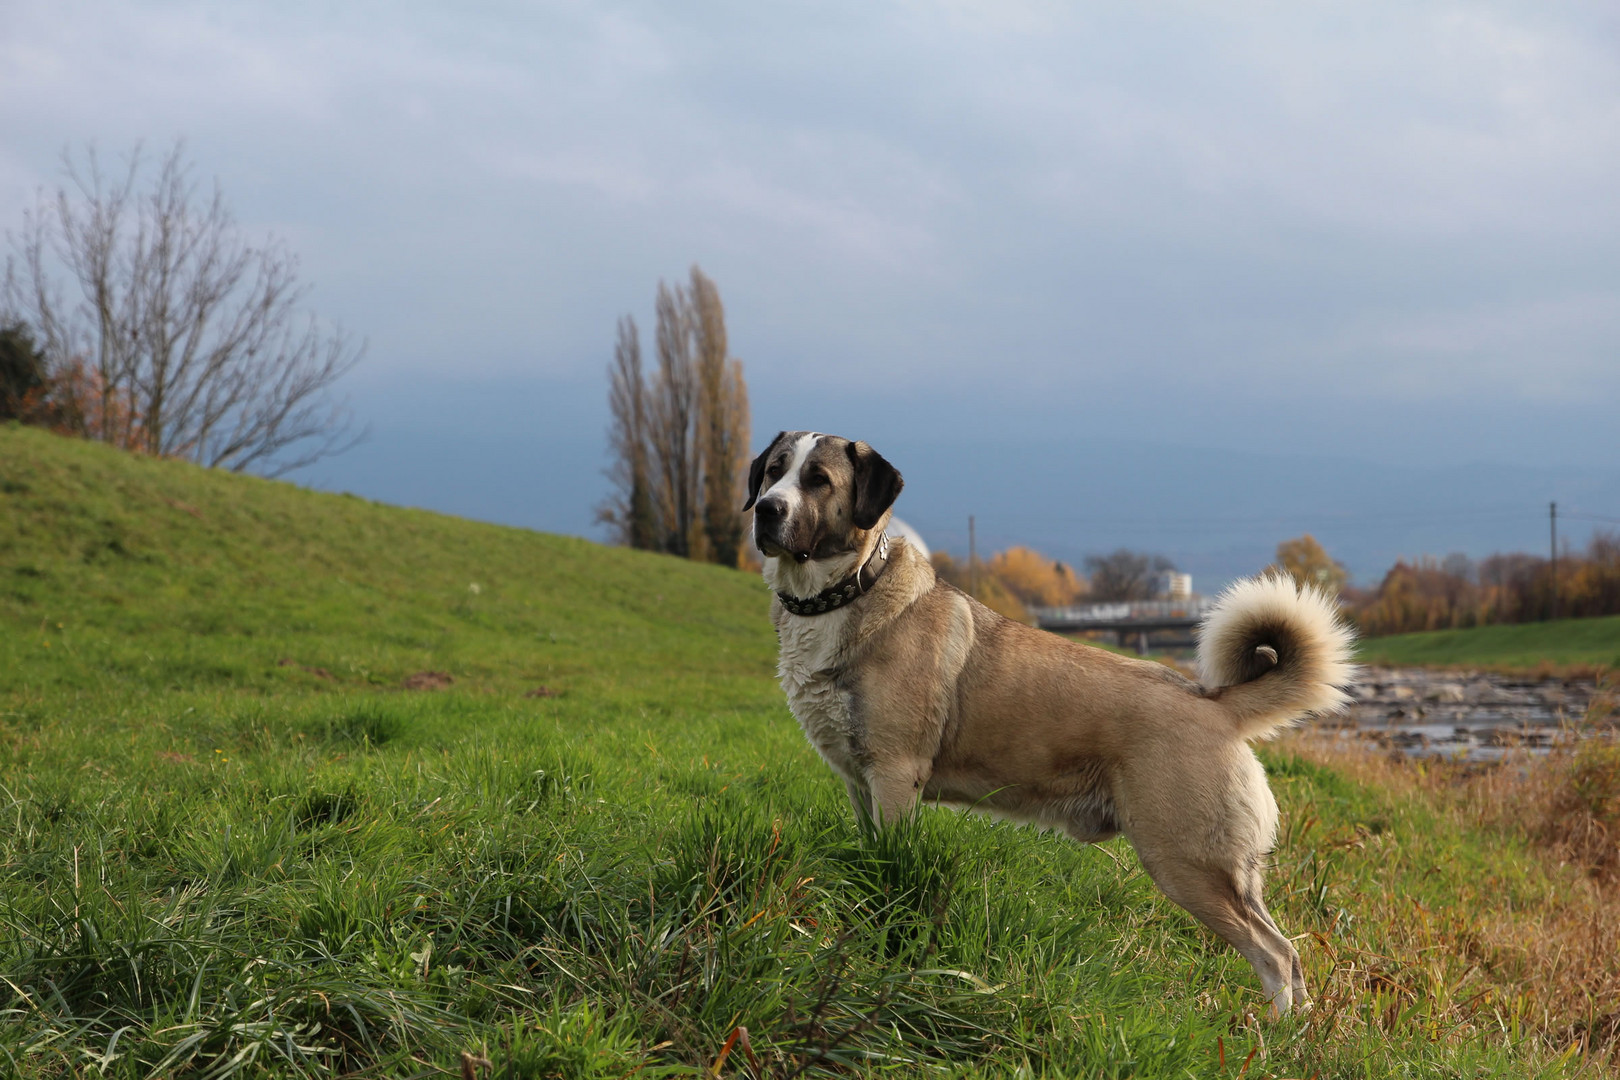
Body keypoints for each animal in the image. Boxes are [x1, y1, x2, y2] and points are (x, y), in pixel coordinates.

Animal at [745, 427, 1354, 1016]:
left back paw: (1272, 1035)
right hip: (1227, 872)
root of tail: (1215, 702)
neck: (843, 594)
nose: (766, 510)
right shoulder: (860, 783)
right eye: (774, 471)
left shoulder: (894, 776)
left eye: (818, 480)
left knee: (1274, 954)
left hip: (1188, 863)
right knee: (1289, 953)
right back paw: (1296, 1035)